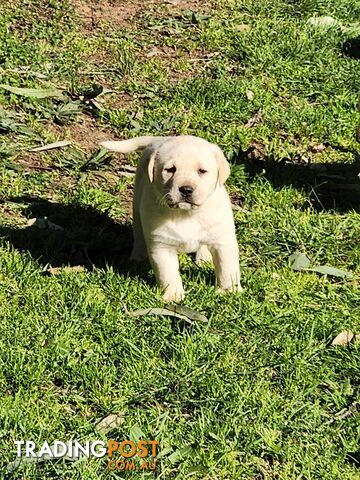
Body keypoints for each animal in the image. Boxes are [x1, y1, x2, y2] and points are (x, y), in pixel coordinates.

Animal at [100, 135, 243, 300]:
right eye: (170, 170)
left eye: (202, 171)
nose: (186, 189)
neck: (186, 215)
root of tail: (158, 138)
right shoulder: (162, 246)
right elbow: (167, 273)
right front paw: (173, 296)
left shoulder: (223, 240)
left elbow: (227, 268)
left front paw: (228, 291)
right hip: (137, 207)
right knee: (139, 236)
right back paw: (137, 259)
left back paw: (204, 257)